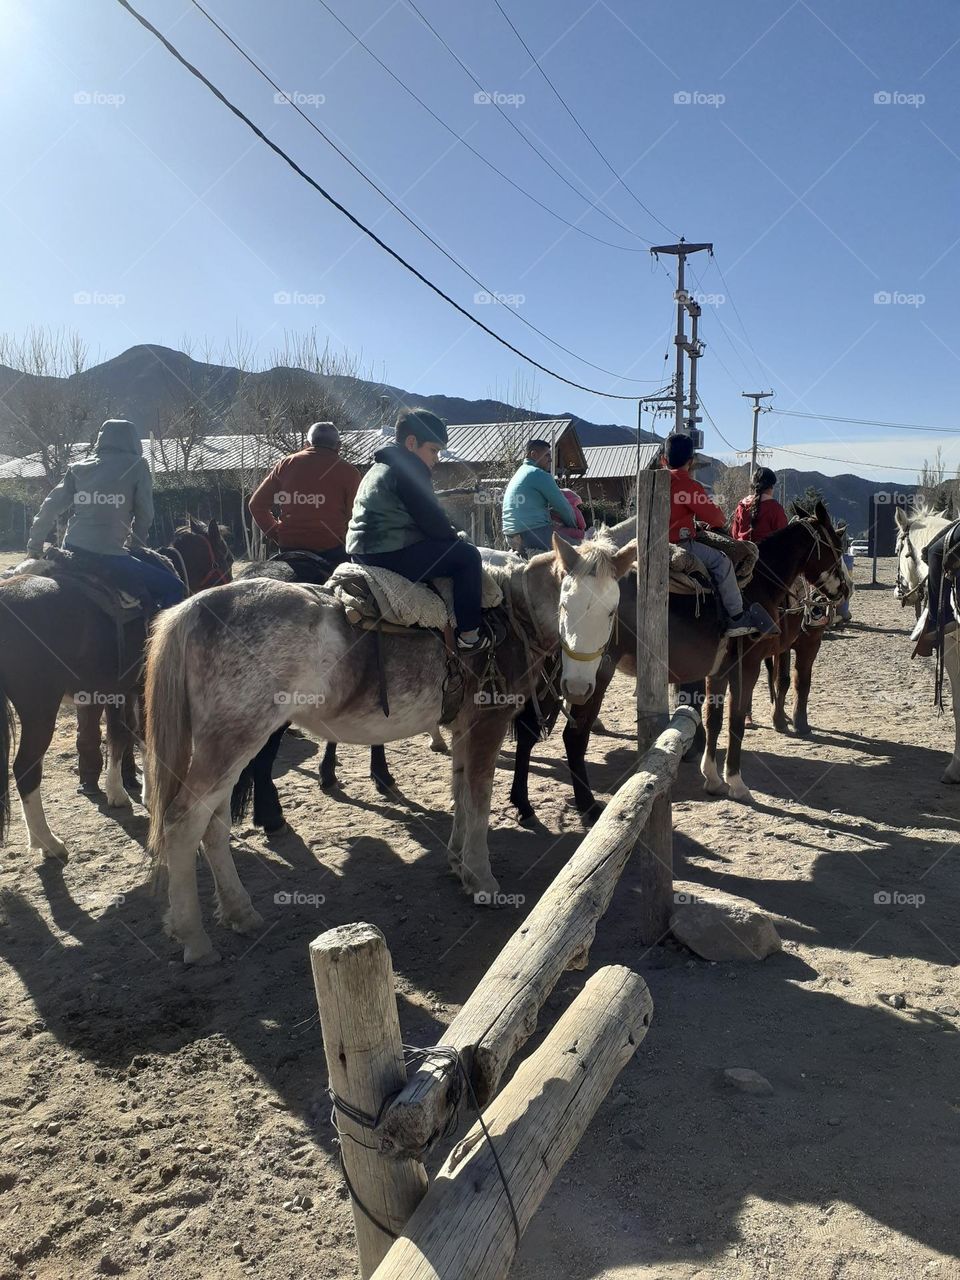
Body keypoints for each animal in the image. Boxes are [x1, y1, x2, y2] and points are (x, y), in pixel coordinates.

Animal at [0, 519, 231, 860]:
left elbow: (121, 735)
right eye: (227, 556)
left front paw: (118, 790)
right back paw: (48, 842)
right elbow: (141, 734)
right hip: (39, 708)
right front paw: (144, 793)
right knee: (26, 768)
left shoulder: (116, 690)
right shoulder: (142, 687)